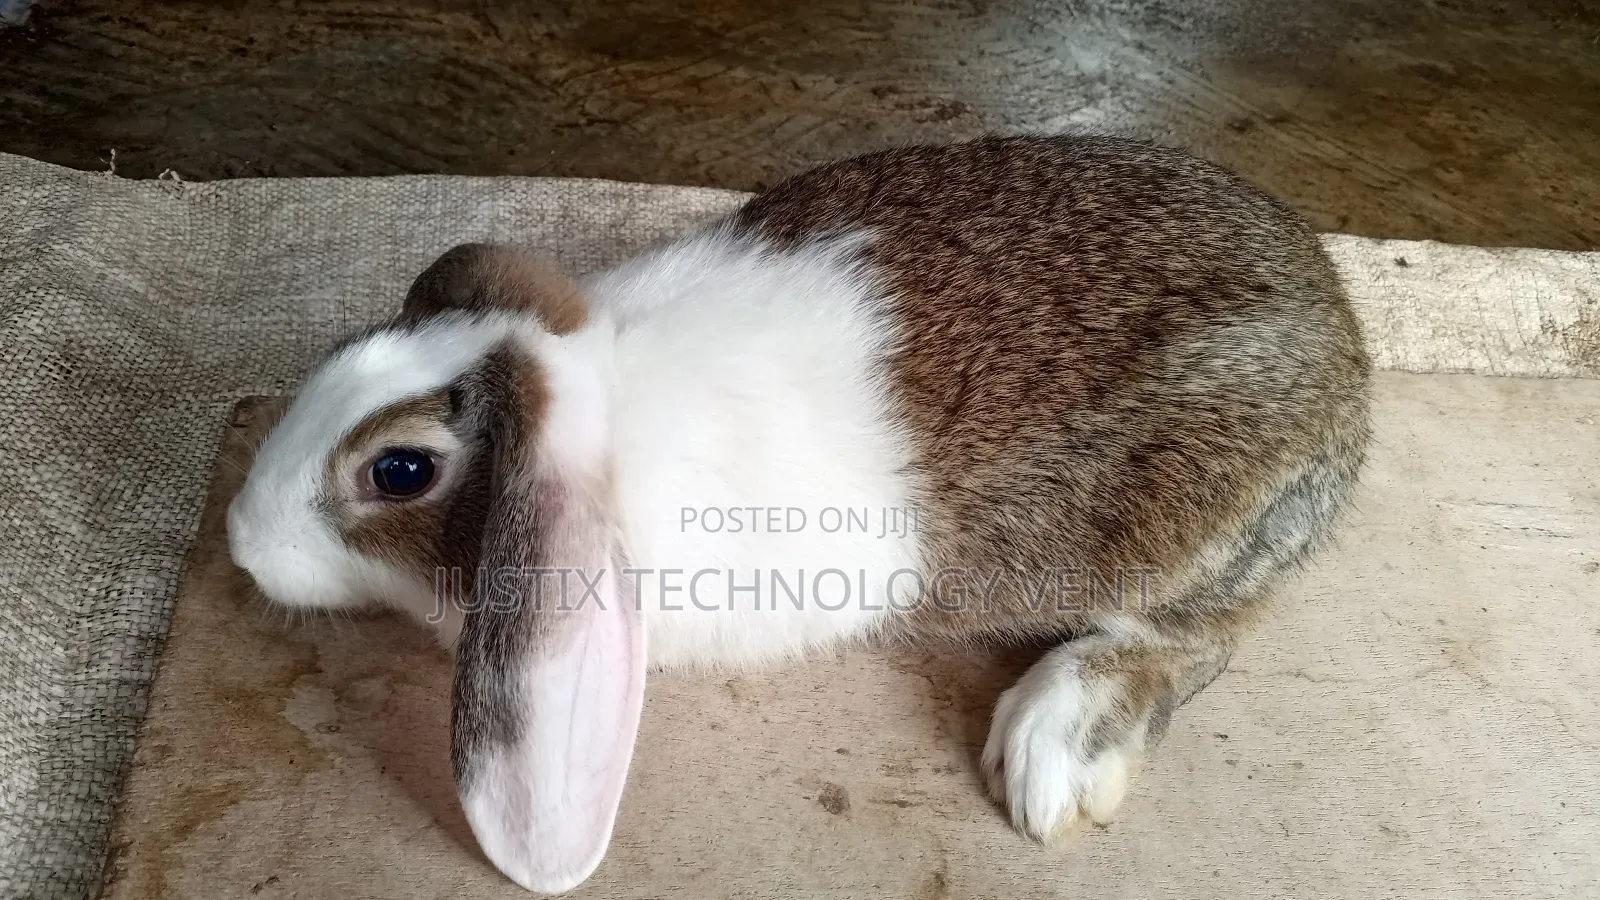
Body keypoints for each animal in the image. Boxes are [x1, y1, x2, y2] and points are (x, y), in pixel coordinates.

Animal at [227, 134, 1371, 895]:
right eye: (346, 352)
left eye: (401, 470)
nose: (240, 538)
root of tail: (1347, 351)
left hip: (1177, 534)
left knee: (1197, 639)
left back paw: (1055, 746)